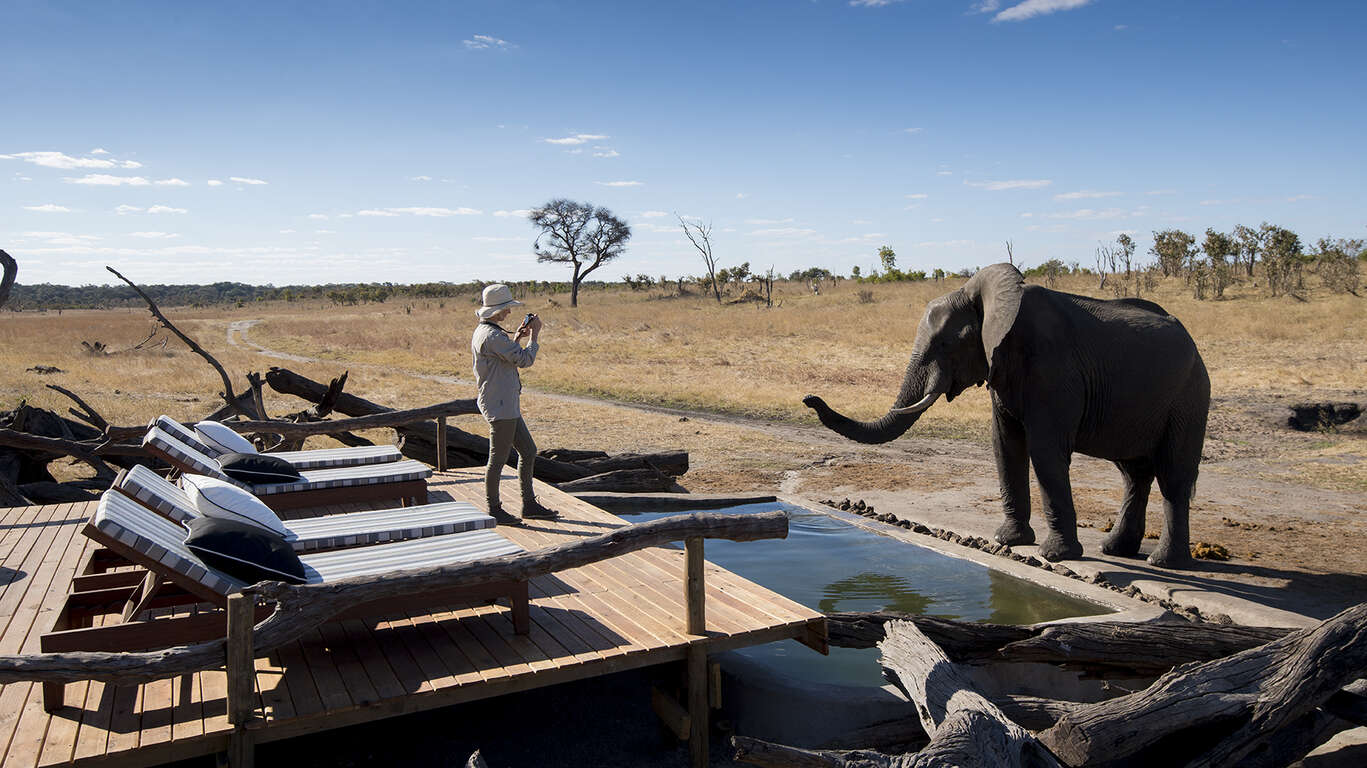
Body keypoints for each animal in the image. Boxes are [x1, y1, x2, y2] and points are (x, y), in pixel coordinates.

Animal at [798, 259, 1208, 565]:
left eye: (945, 344)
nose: (809, 398)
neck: (990, 299)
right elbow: (1005, 444)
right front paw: (1007, 541)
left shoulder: (1053, 369)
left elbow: (1044, 451)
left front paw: (1055, 556)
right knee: (1133, 473)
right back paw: (1117, 550)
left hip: (1189, 398)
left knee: (1172, 476)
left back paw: (1163, 562)